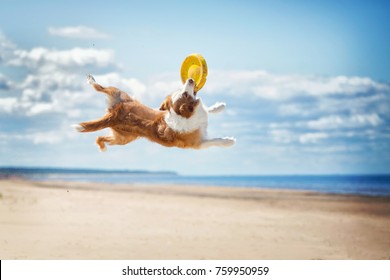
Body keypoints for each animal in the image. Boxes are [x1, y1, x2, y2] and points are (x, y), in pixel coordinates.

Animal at [74, 74, 236, 151]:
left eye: (181, 91)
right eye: (184, 94)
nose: (190, 79)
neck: (186, 115)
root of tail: (113, 113)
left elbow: (207, 109)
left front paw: (219, 106)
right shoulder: (197, 143)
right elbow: (215, 141)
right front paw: (228, 141)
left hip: (120, 100)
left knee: (100, 89)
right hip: (123, 137)